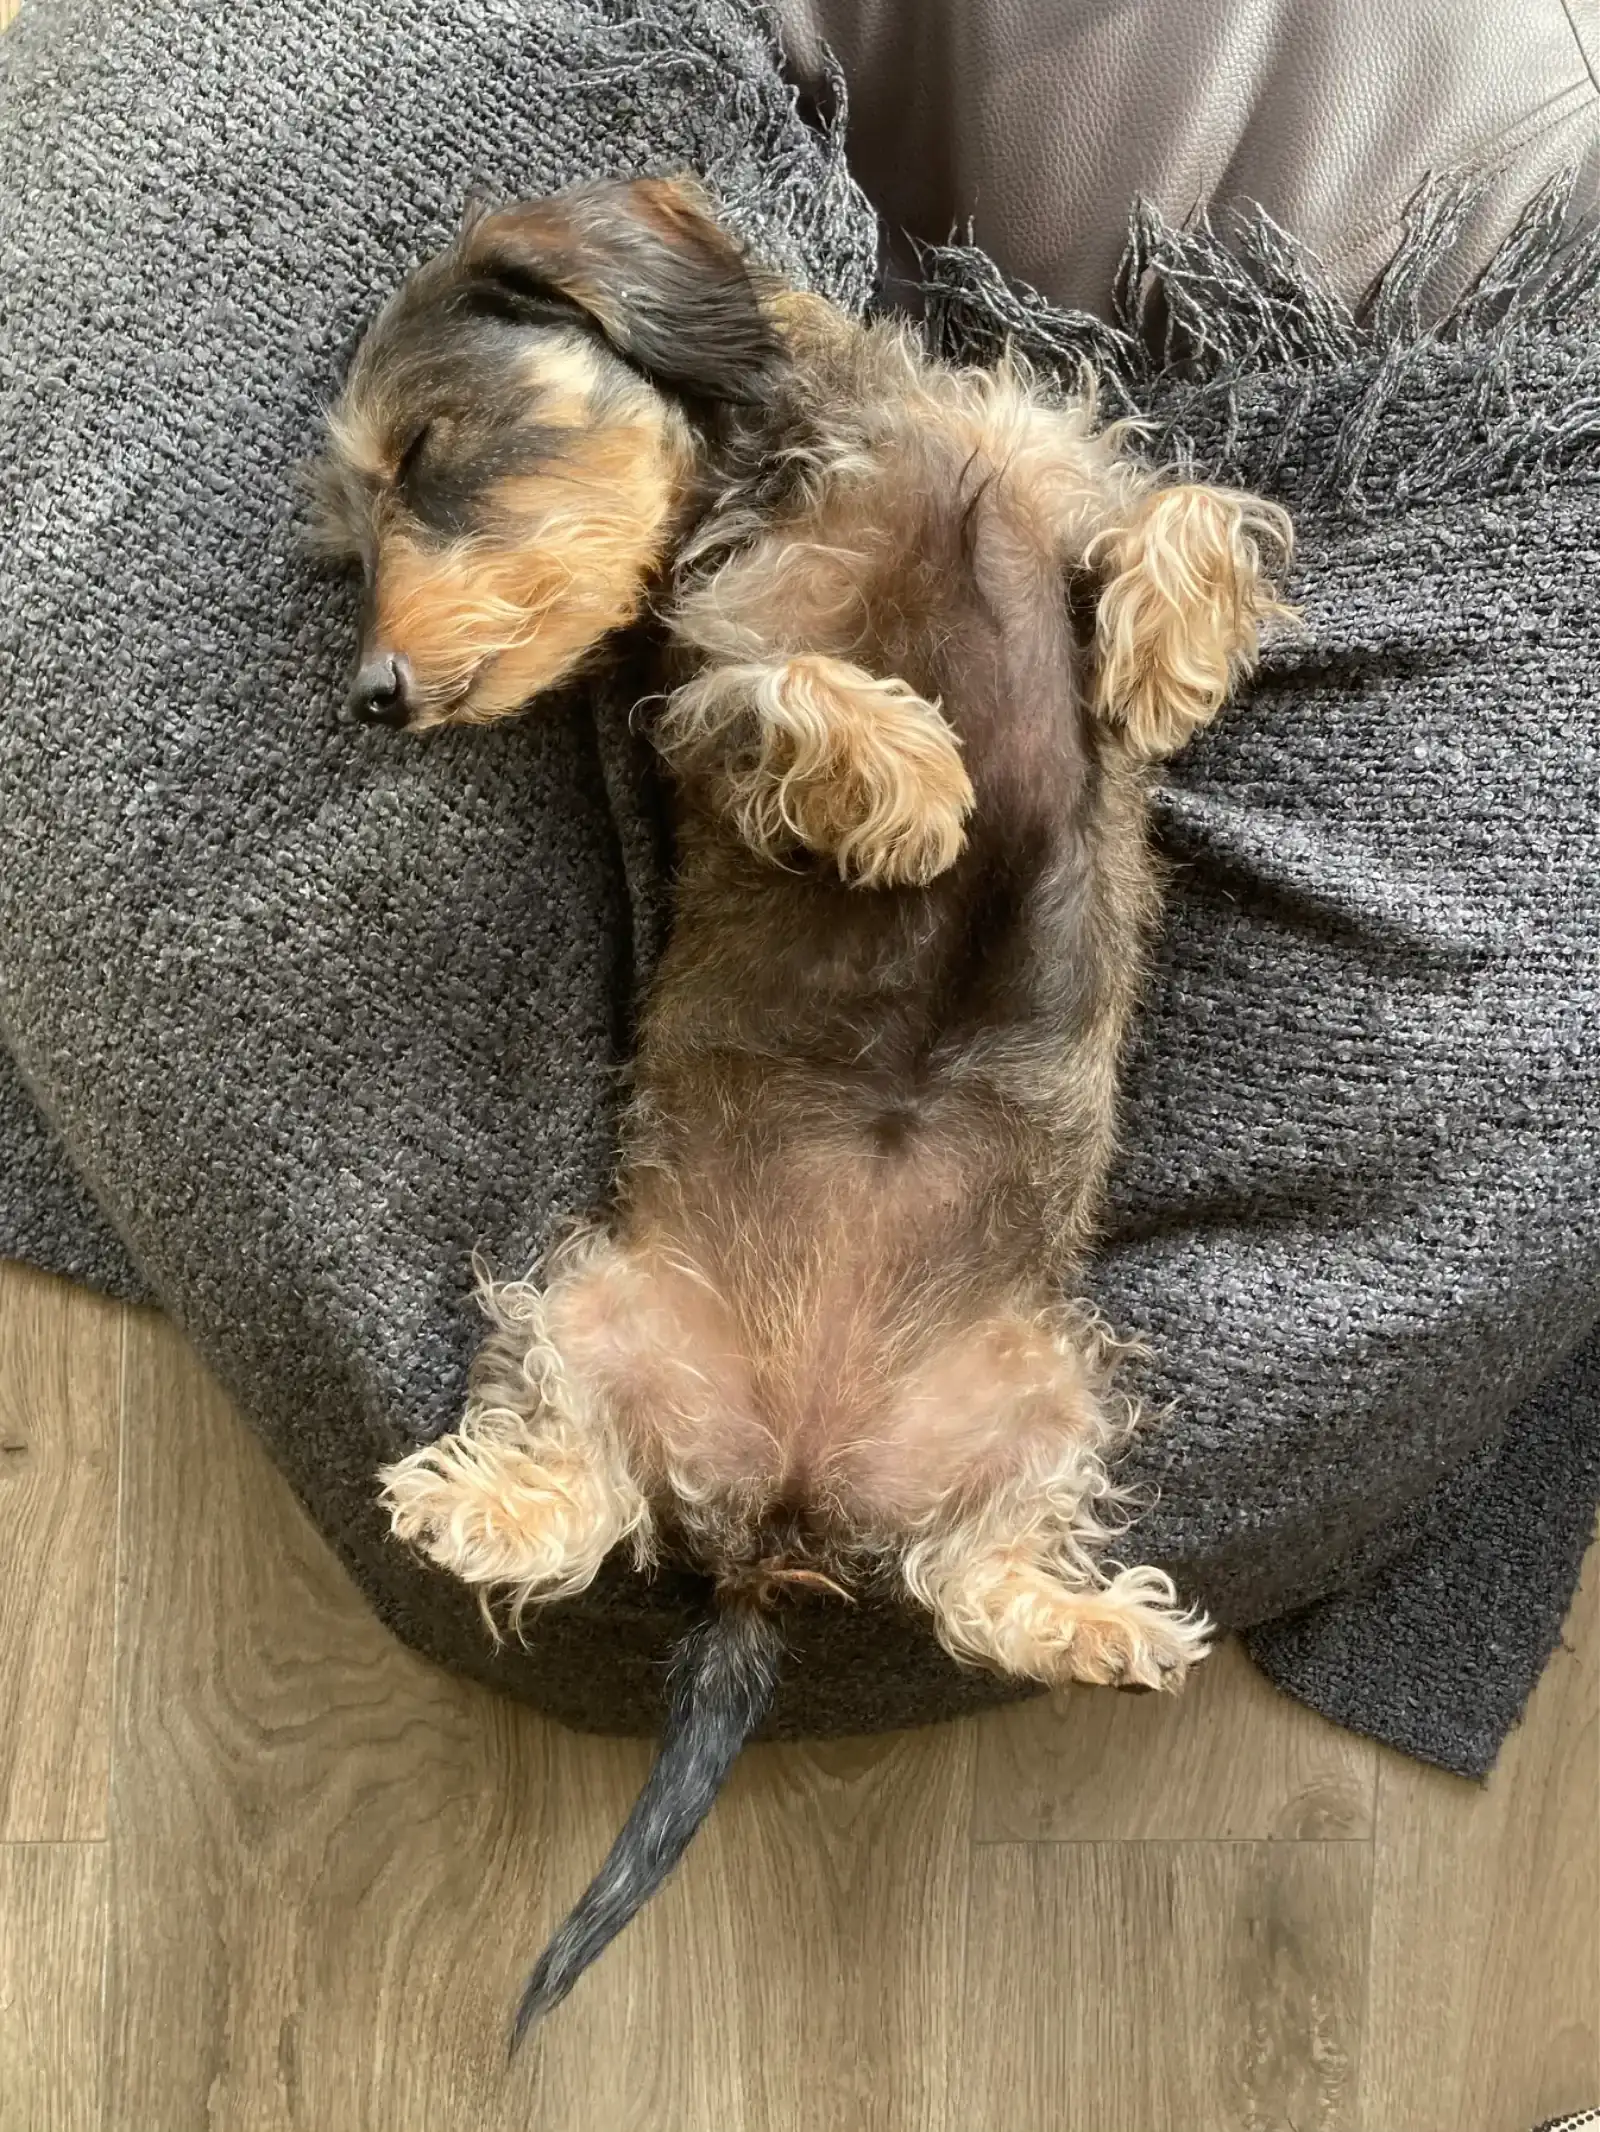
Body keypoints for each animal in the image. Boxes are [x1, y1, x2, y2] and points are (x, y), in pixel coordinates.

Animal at [312, 176, 1291, 2039]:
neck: (807, 458)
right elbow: (803, 695)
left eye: (430, 450)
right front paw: (913, 788)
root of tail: (787, 1495)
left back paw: (1094, 1629)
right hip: (590, 1307)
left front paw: (1159, 652)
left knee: (971, 1578)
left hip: (1044, 1392)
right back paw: (474, 1507)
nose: (372, 696)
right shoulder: (709, 682)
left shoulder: (1048, 475)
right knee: (605, 1499)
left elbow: (1188, 505)